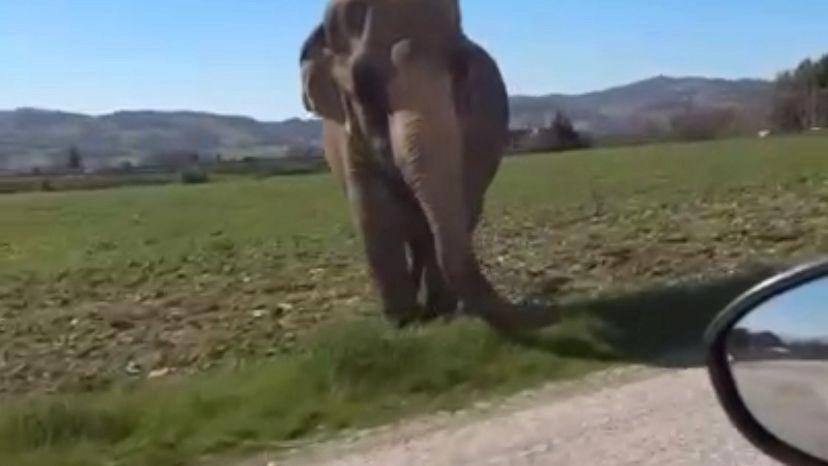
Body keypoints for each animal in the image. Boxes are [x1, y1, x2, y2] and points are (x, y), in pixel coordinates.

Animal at [294, 0, 520, 332]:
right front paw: (402, 322)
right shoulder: (350, 140)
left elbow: (452, 207)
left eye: (460, 71)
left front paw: (438, 312)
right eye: (365, 84)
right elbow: (373, 212)